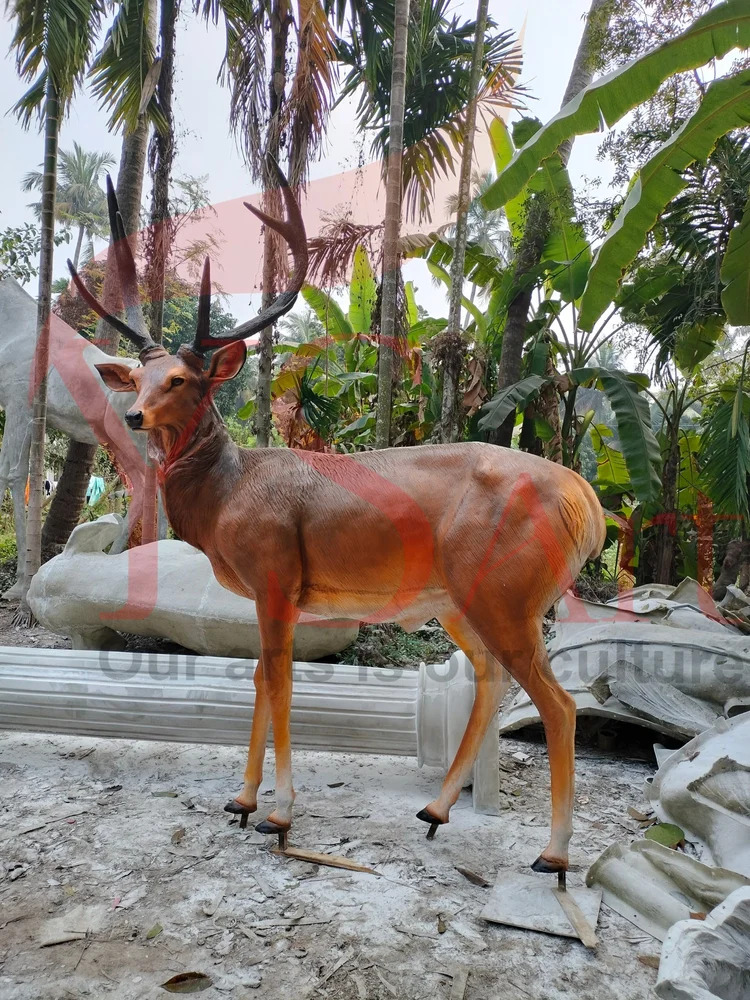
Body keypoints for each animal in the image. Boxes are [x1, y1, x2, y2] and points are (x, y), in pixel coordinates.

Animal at [69, 161, 606, 876]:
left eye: (184, 378)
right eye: (139, 376)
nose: (131, 416)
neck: (230, 493)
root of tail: (586, 502)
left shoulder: (275, 576)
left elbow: (282, 685)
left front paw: (280, 812)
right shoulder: (269, 595)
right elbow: (261, 682)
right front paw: (241, 800)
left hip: (508, 593)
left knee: (560, 703)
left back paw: (554, 853)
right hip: (460, 600)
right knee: (492, 682)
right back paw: (435, 812)